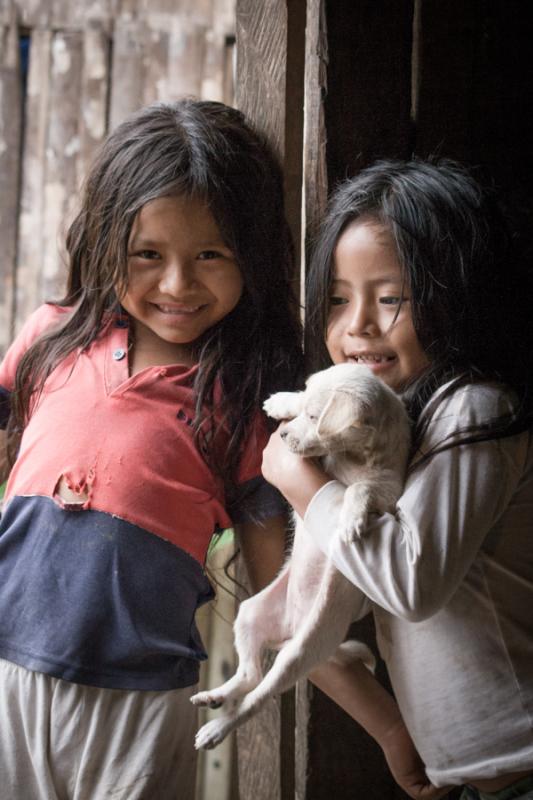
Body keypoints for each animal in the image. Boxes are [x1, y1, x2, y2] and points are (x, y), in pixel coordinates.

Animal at [190, 362, 408, 752]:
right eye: (303, 405)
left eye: (314, 416)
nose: (282, 435)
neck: (356, 454)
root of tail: (290, 629)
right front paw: (280, 401)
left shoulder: (389, 490)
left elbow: (359, 487)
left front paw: (350, 520)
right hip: (250, 613)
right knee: (249, 675)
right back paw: (214, 696)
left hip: (299, 655)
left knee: (256, 697)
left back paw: (216, 729)